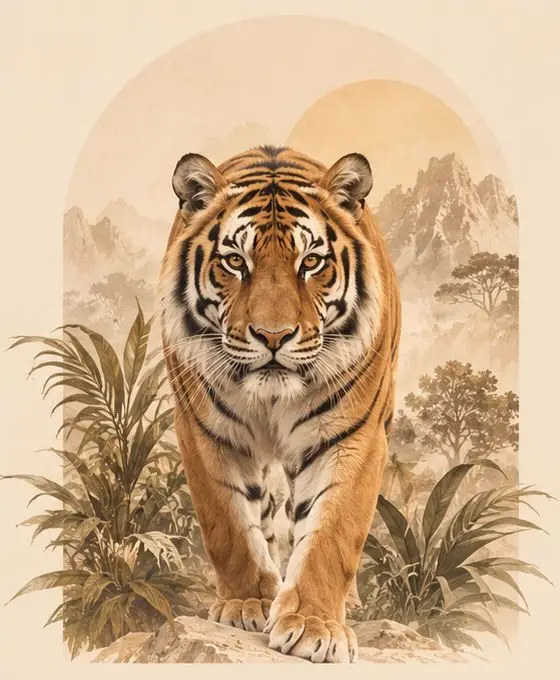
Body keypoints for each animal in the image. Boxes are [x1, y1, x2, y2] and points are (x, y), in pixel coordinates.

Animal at [158, 145, 401, 663]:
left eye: (311, 262)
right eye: (235, 261)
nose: (273, 336)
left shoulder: (354, 435)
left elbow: (333, 532)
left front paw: (314, 625)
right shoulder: (204, 431)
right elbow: (228, 525)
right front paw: (247, 602)